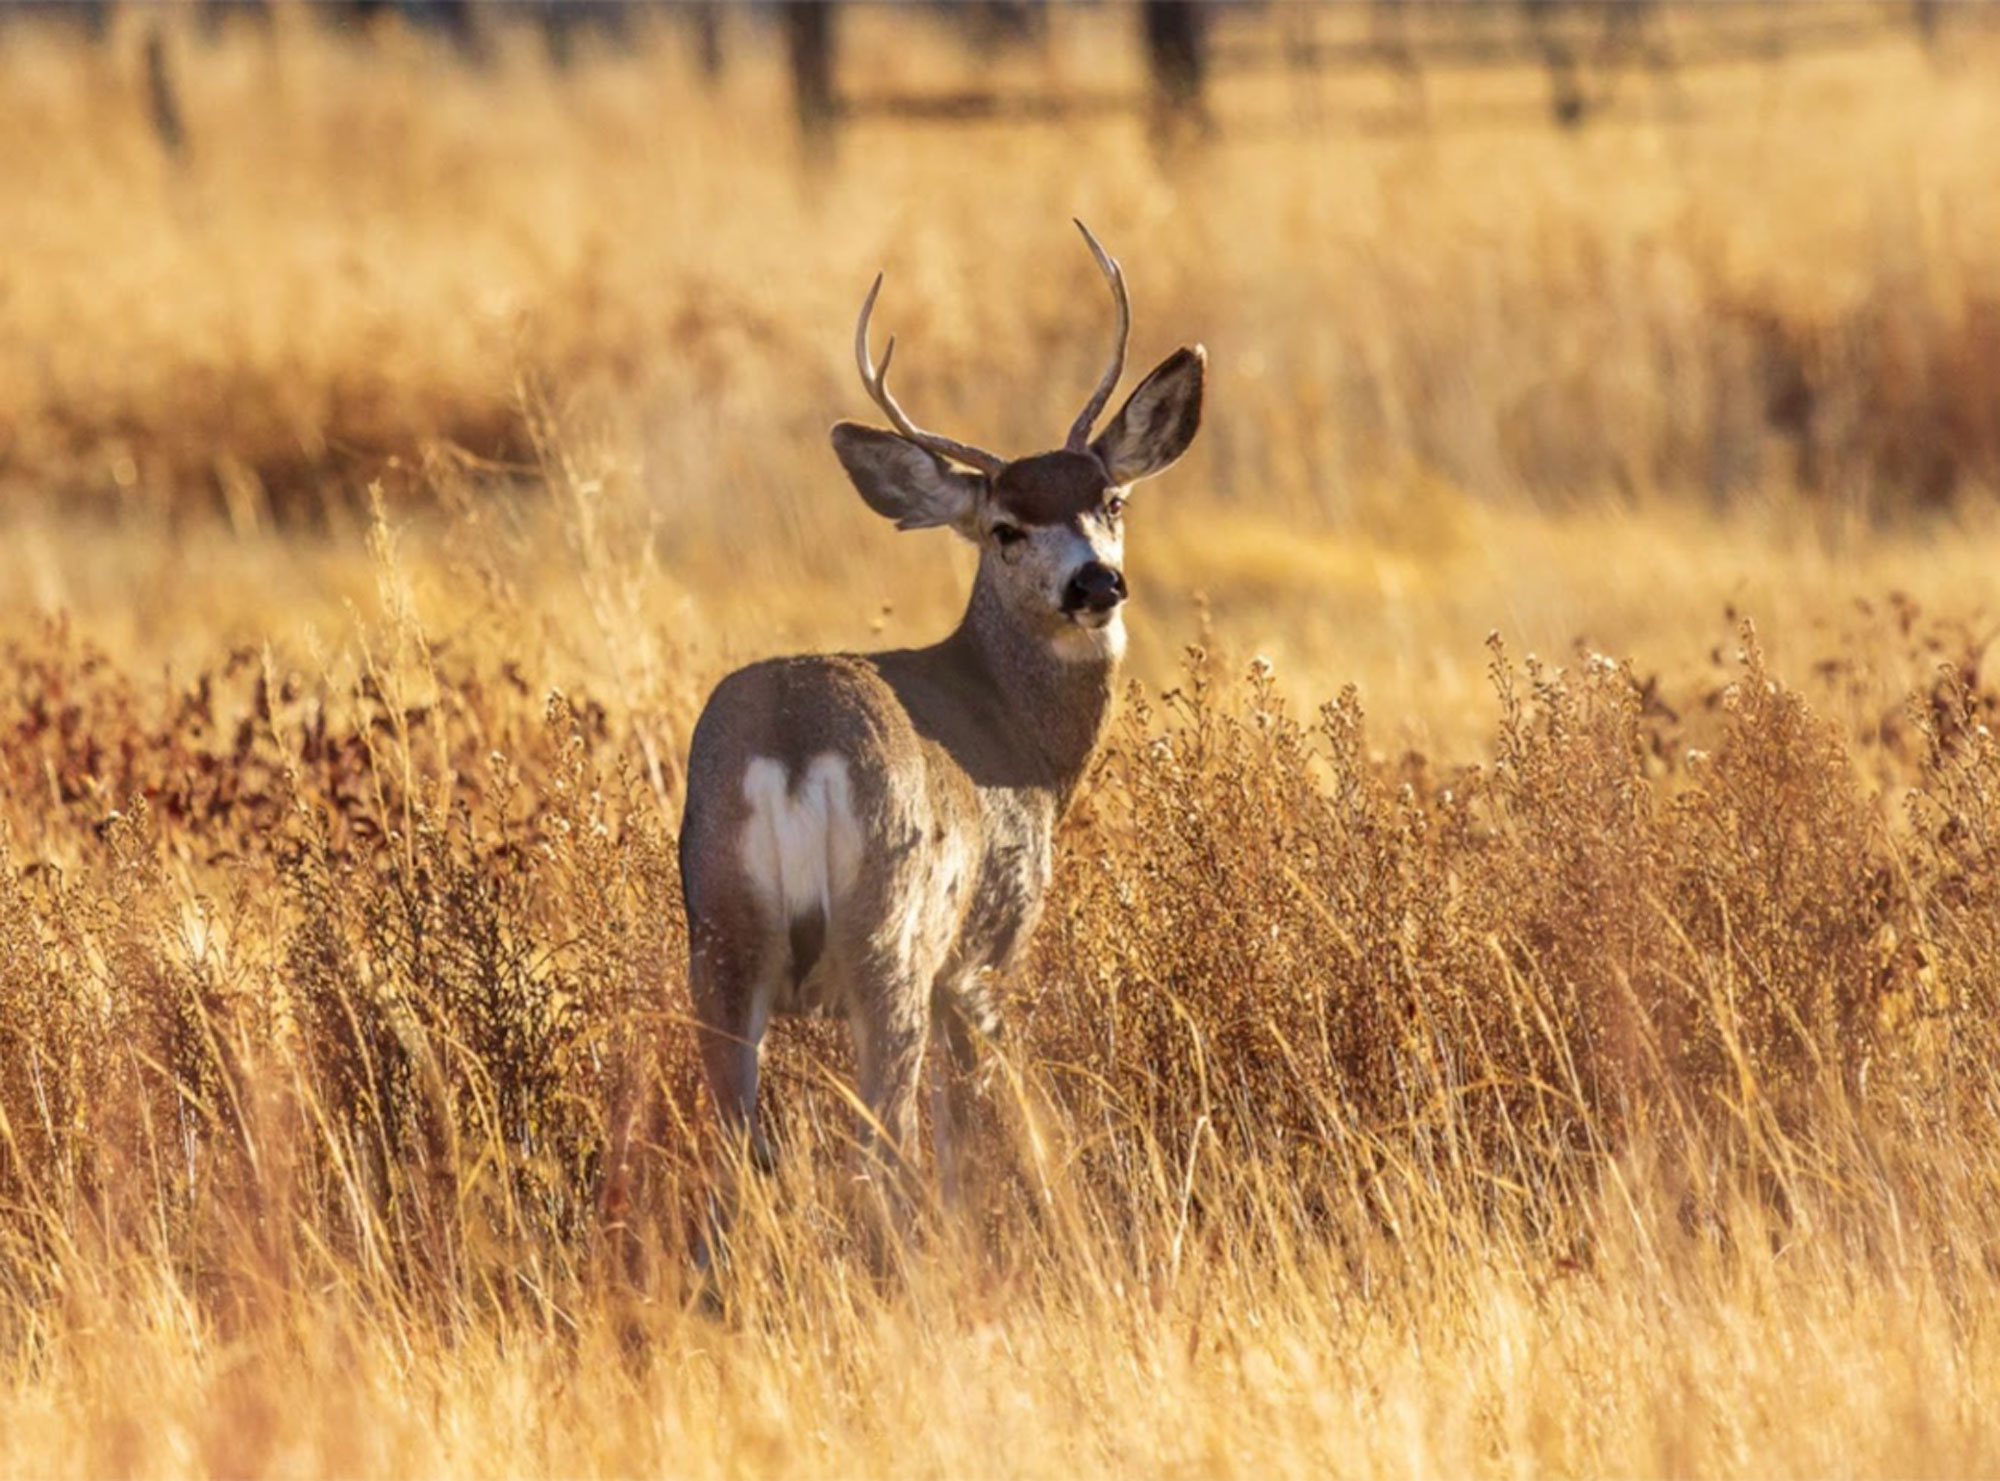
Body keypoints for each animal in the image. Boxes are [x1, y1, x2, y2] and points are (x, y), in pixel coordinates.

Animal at [680, 220, 1200, 1216]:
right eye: (1004, 527)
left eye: (1111, 500)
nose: (1096, 582)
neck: (1019, 739)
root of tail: (794, 751)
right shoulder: (987, 948)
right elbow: (985, 1120)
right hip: (893, 934)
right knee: (884, 1141)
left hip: (718, 930)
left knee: (727, 1141)